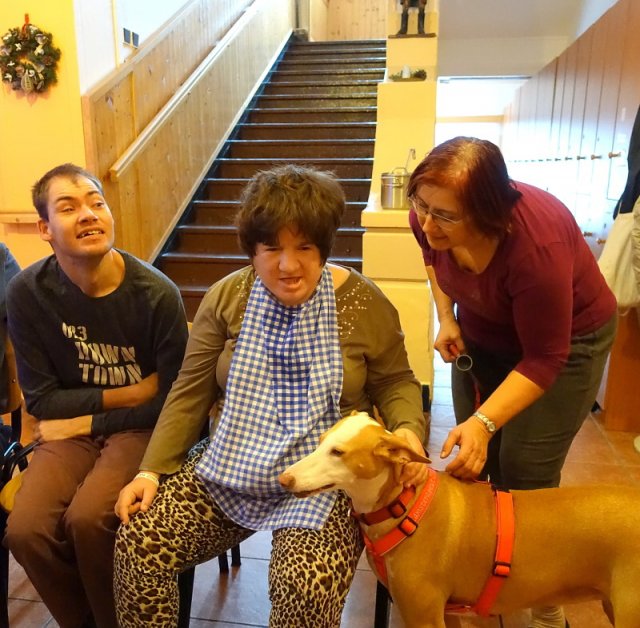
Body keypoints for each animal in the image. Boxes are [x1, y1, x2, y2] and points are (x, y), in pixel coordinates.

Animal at [278, 412, 640, 627]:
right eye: (320, 442)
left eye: (338, 452)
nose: (284, 478)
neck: (402, 505)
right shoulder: (443, 612)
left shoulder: (424, 616)